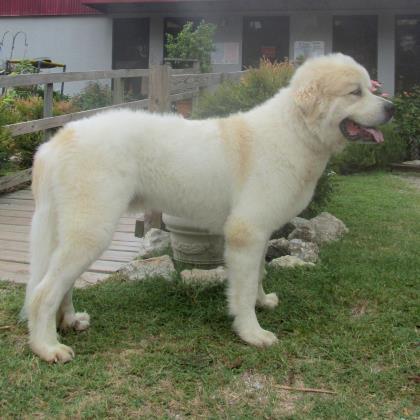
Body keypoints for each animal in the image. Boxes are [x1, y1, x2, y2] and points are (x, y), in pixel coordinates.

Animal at [22, 53, 394, 360]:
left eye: (369, 88)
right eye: (355, 92)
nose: (391, 108)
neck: (296, 132)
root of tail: (57, 140)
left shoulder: (260, 232)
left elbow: (258, 274)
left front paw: (262, 302)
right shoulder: (246, 231)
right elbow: (243, 289)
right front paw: (252, 333)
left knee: (61, 284)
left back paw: (70, 321)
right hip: (92, 230)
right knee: (43, 293)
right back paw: (47, 347)